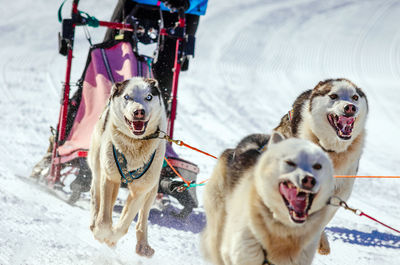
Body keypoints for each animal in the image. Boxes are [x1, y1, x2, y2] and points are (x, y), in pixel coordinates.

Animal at [88, 77, 166, 256]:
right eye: (127, 97)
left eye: (149, 97)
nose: (139, 112)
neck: (134, 145)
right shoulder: (109, 178)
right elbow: (104, 220)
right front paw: (101, 232)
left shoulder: (140, 191)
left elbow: (124, 224)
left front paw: (111, 238)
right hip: (99, 166)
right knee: (96, 196)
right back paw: (95, 222)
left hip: (152, 187)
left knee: (142, 218)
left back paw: (143, 245)